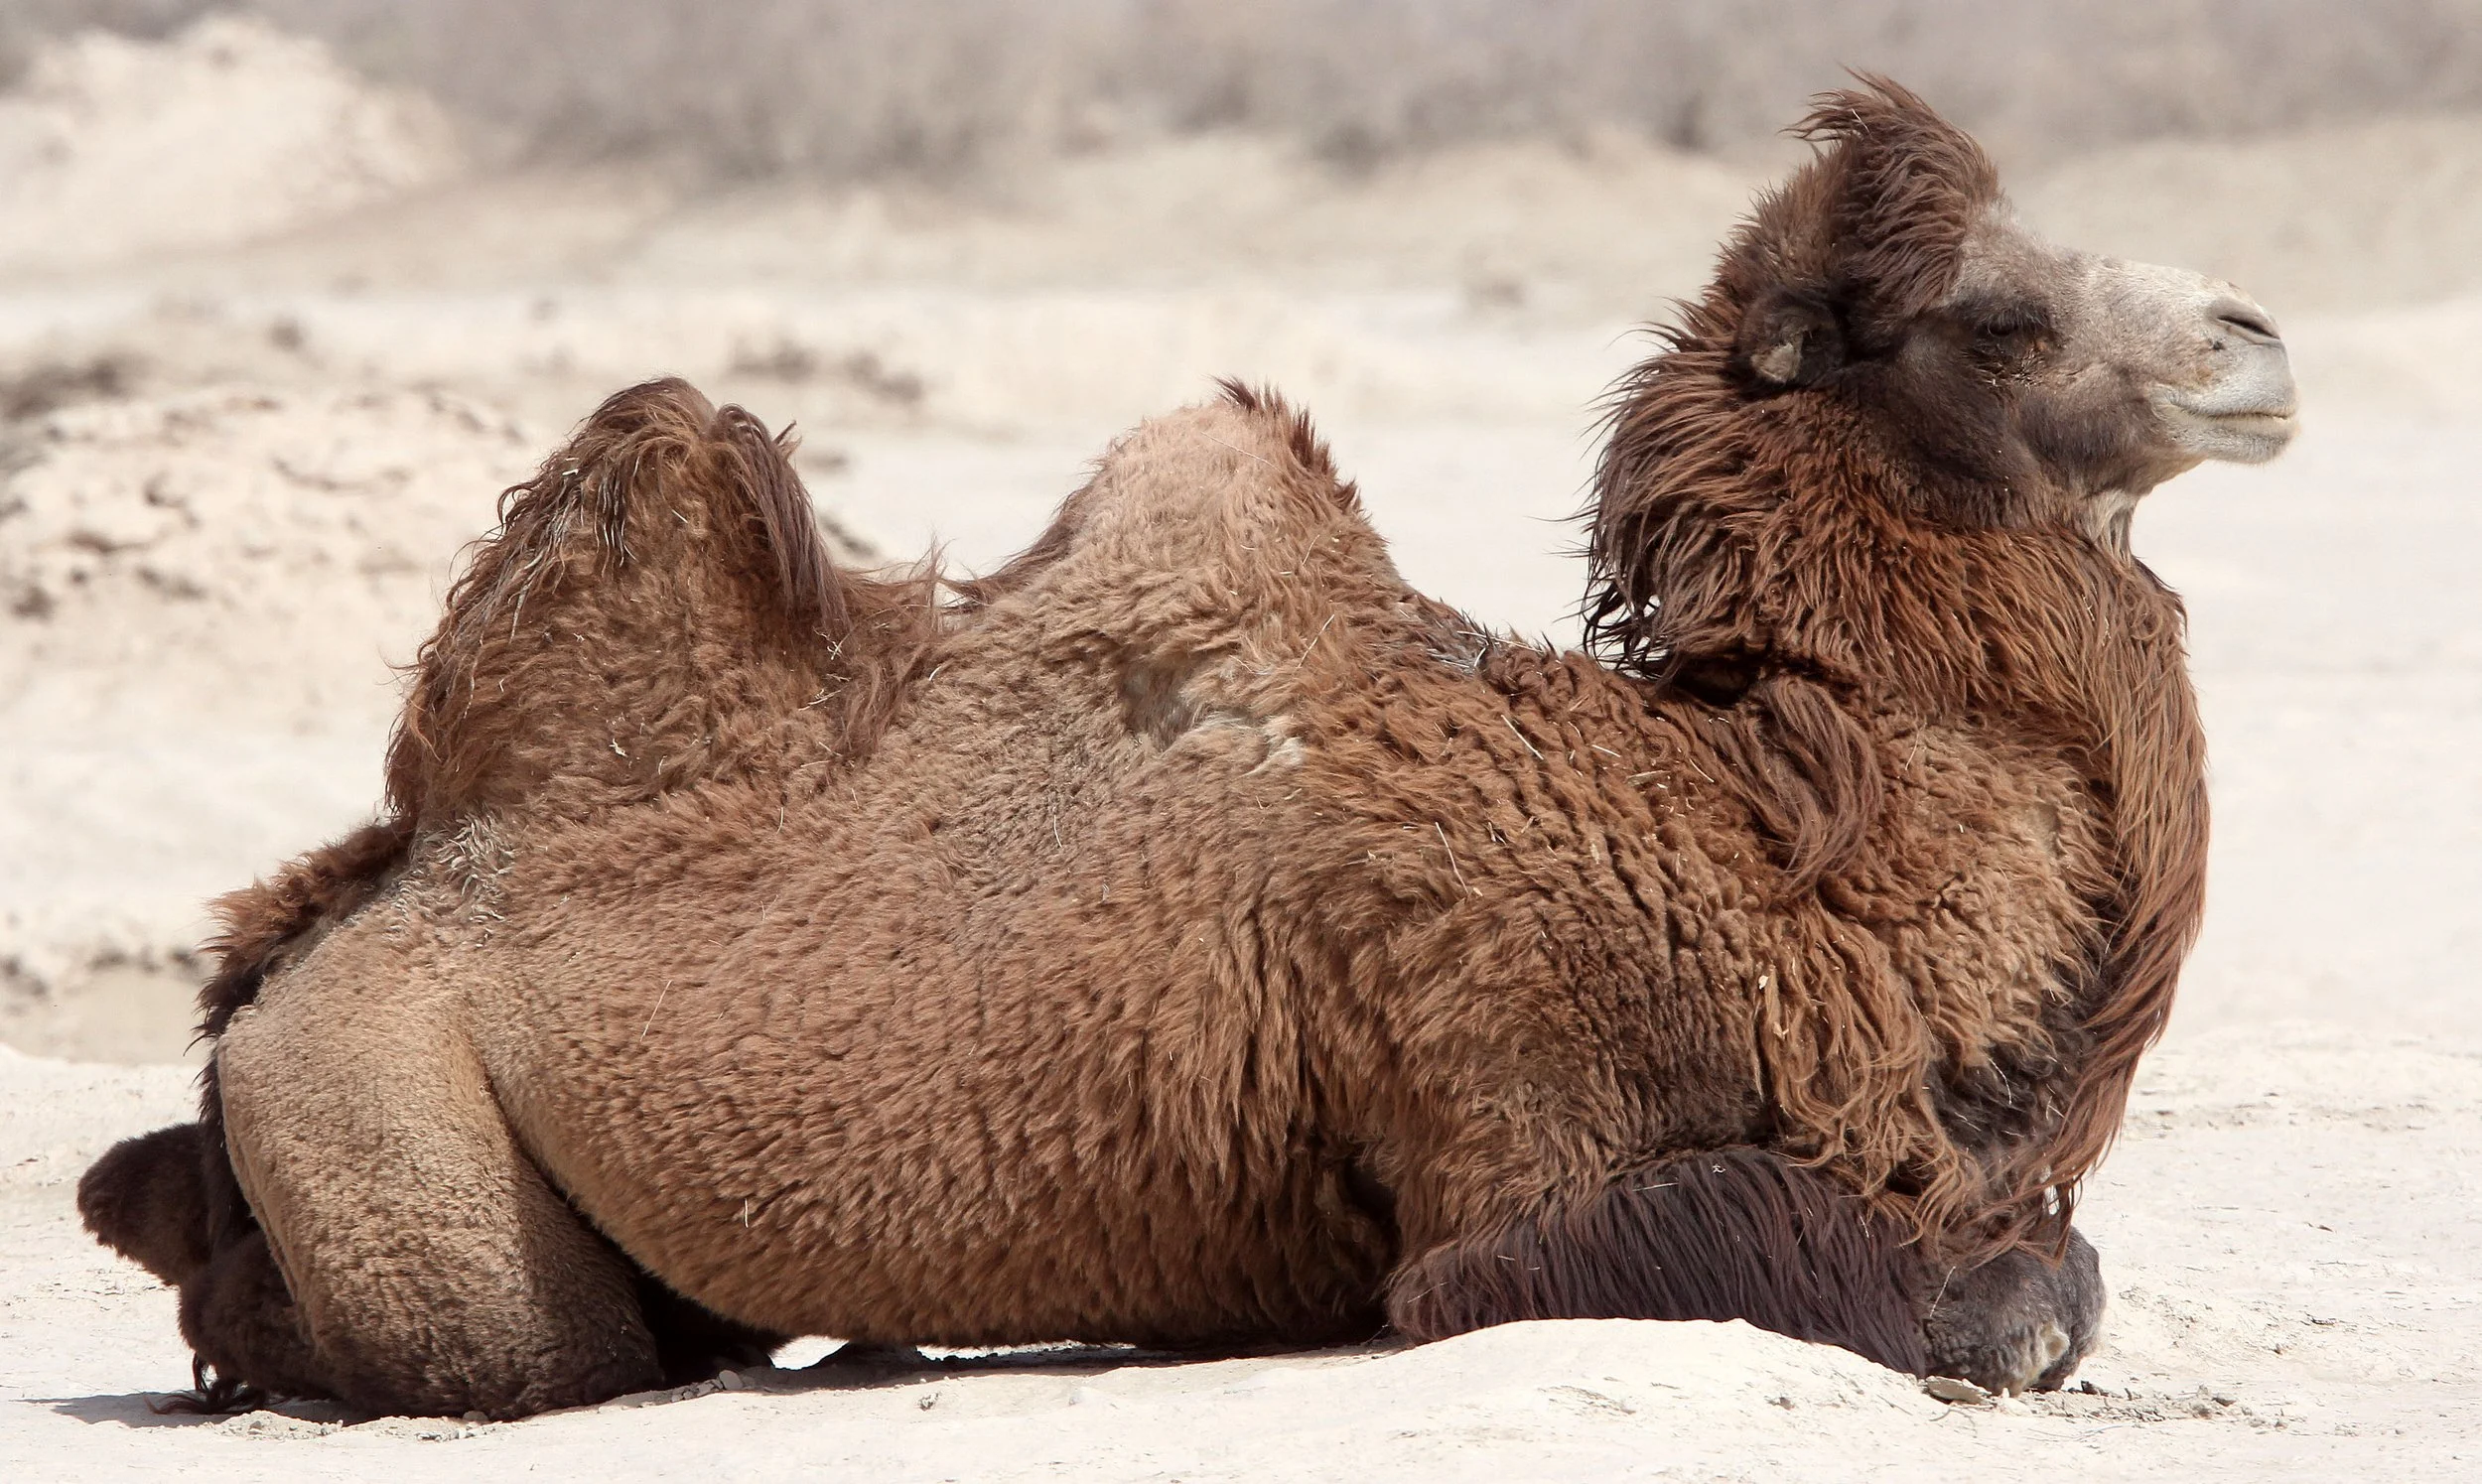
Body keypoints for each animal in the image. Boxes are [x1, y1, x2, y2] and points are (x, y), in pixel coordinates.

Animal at [78, 80, 2295, 1419]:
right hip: (382, 1107)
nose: (2256, 340)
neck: (1778, 836)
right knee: (502, 1346)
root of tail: (307, 945)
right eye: (1997, 318)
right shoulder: (1511, 1123)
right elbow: (2009, 1292)